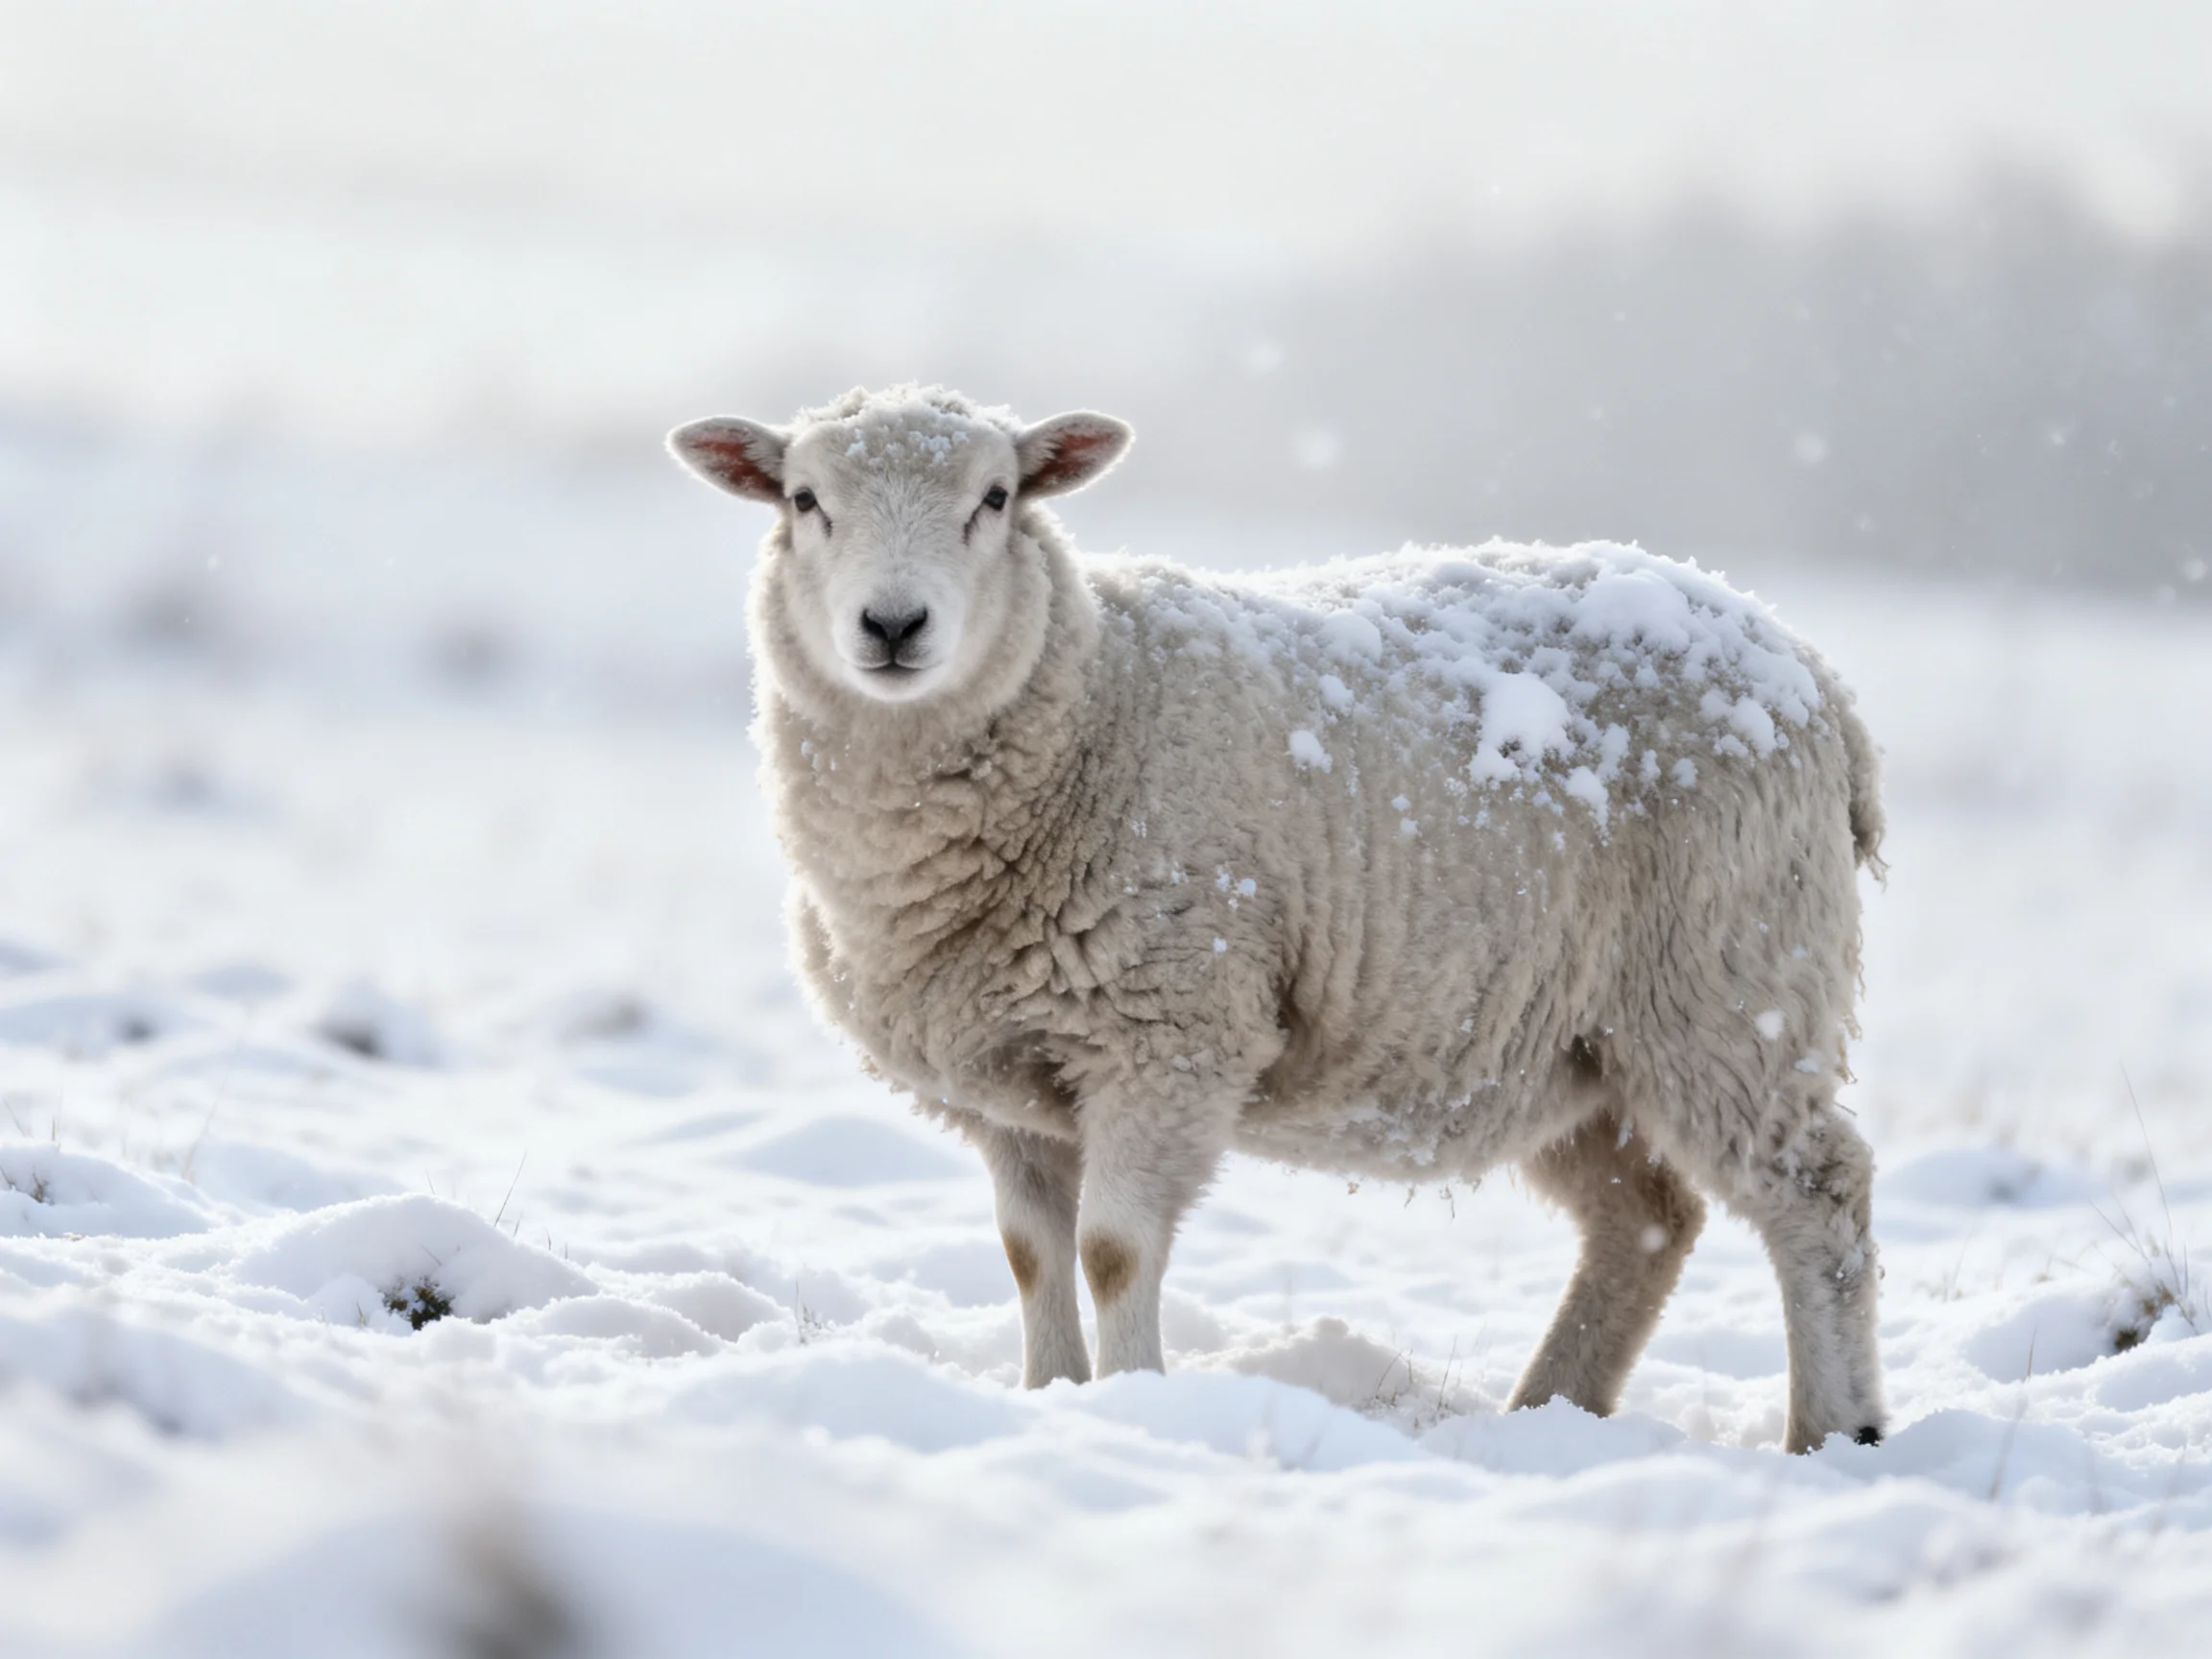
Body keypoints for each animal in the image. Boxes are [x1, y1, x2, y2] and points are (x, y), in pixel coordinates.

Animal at [669, 384, 1887, 1453]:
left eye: (998, 496)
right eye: (804, 500)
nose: (892, 624)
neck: (1090, 703)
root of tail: (1812, 673)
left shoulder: (1170, 1035)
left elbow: (1112, 1252)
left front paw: (1134, 1404)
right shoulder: (1010, 1080)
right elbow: (1030, 1255)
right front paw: (1048, 1399)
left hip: (1732, 985)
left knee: (1818, 1197)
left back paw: (1835, 1431)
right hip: (1571, 1044)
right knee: (1645, 1221)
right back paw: (1548, 1412)